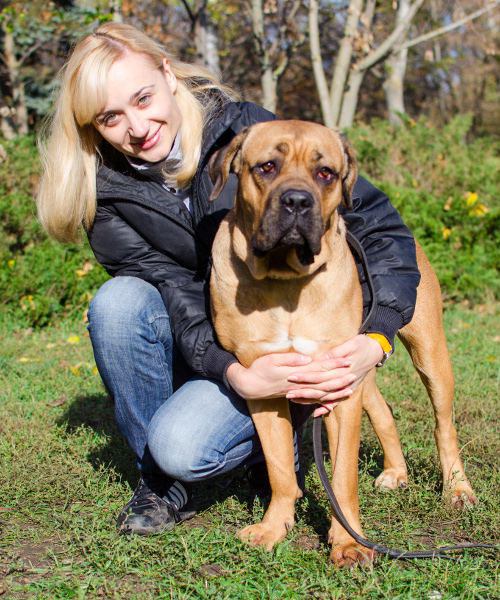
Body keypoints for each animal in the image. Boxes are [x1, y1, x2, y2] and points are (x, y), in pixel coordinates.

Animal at [208, 118, 476, 568]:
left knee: (444, 426)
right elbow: (280, 468)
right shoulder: (262, 384)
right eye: (266, 166)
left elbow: (343, 476)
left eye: (325, 173)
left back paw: (457, 489)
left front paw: (349, 543)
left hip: (429, 353)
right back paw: (396, 472)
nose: (297, 202)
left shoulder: (339, 386)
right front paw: (273, 527)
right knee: (384, 412)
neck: (286, 283)